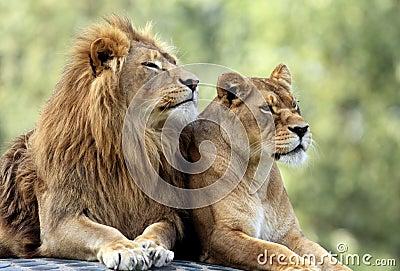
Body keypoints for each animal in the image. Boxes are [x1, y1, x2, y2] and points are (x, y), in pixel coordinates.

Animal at [0, 15, 200, 271]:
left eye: (173, 62)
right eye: (151, 65)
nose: (195, 82)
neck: (135, 141)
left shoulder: (166, 213)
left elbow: (162, 229)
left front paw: (152, 246)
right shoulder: (59, 220)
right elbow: (103, 231)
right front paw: (126, 249)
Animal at [187, 66, 350, 271]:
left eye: (295, 105)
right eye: (266, 108)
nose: (302, 129)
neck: (257, 172)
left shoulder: (290, 234)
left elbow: (327, 258)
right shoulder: (219, 235)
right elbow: (273, 250)